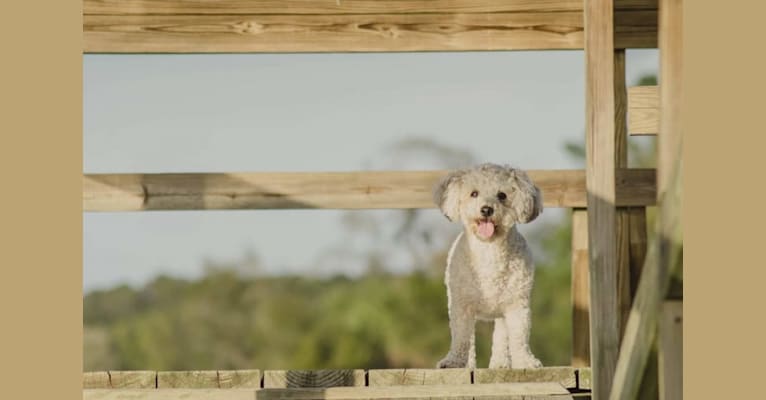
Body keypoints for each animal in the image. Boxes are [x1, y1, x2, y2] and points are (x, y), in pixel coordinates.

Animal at [432, 163, 544, 368]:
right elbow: (461, 338)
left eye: (502, 195)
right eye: (474, 193)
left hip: (501, 313)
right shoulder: (462, 307)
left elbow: (519, 338)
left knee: (501, 338)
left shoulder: (517, 305)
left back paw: (500, 364)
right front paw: (453, 361)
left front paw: (526, 361)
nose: (486, 210)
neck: (489, 251)